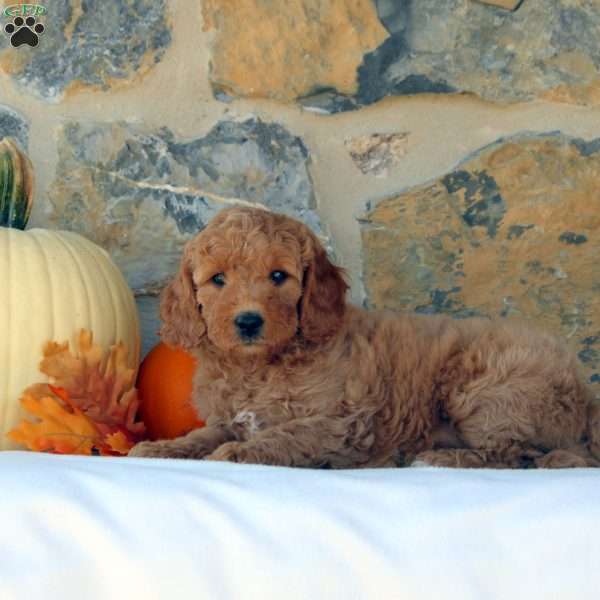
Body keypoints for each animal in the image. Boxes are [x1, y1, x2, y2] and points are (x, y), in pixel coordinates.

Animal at [131, 206, 600, 468]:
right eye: (218, 280)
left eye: (279, 276)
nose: (248, 322)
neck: (260, 366)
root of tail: (582, 391)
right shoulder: (229, 419)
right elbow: (202, 436)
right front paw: (160, 449)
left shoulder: (340, 422)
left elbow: (286, 435)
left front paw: (238, 454)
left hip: (487, 391)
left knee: (521, 455)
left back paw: (441, 458)